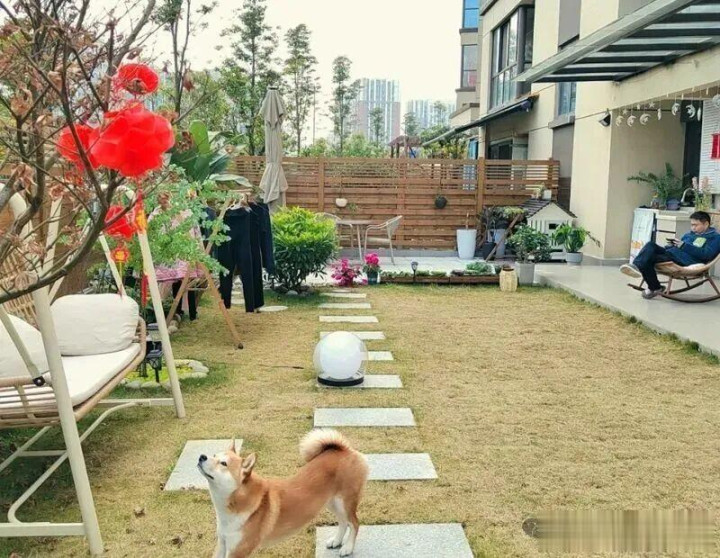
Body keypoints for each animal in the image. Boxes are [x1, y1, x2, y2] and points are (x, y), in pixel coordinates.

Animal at [198, 429, 369, 558]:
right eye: (214, 455)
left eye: (223, 464)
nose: (201, 456)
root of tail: (344, 450)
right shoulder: (222, 543)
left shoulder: (238, 551)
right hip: (332, 503)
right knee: (343, 522)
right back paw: (337, 541)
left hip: (345, 502)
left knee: (354, 523)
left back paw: (347, 548)